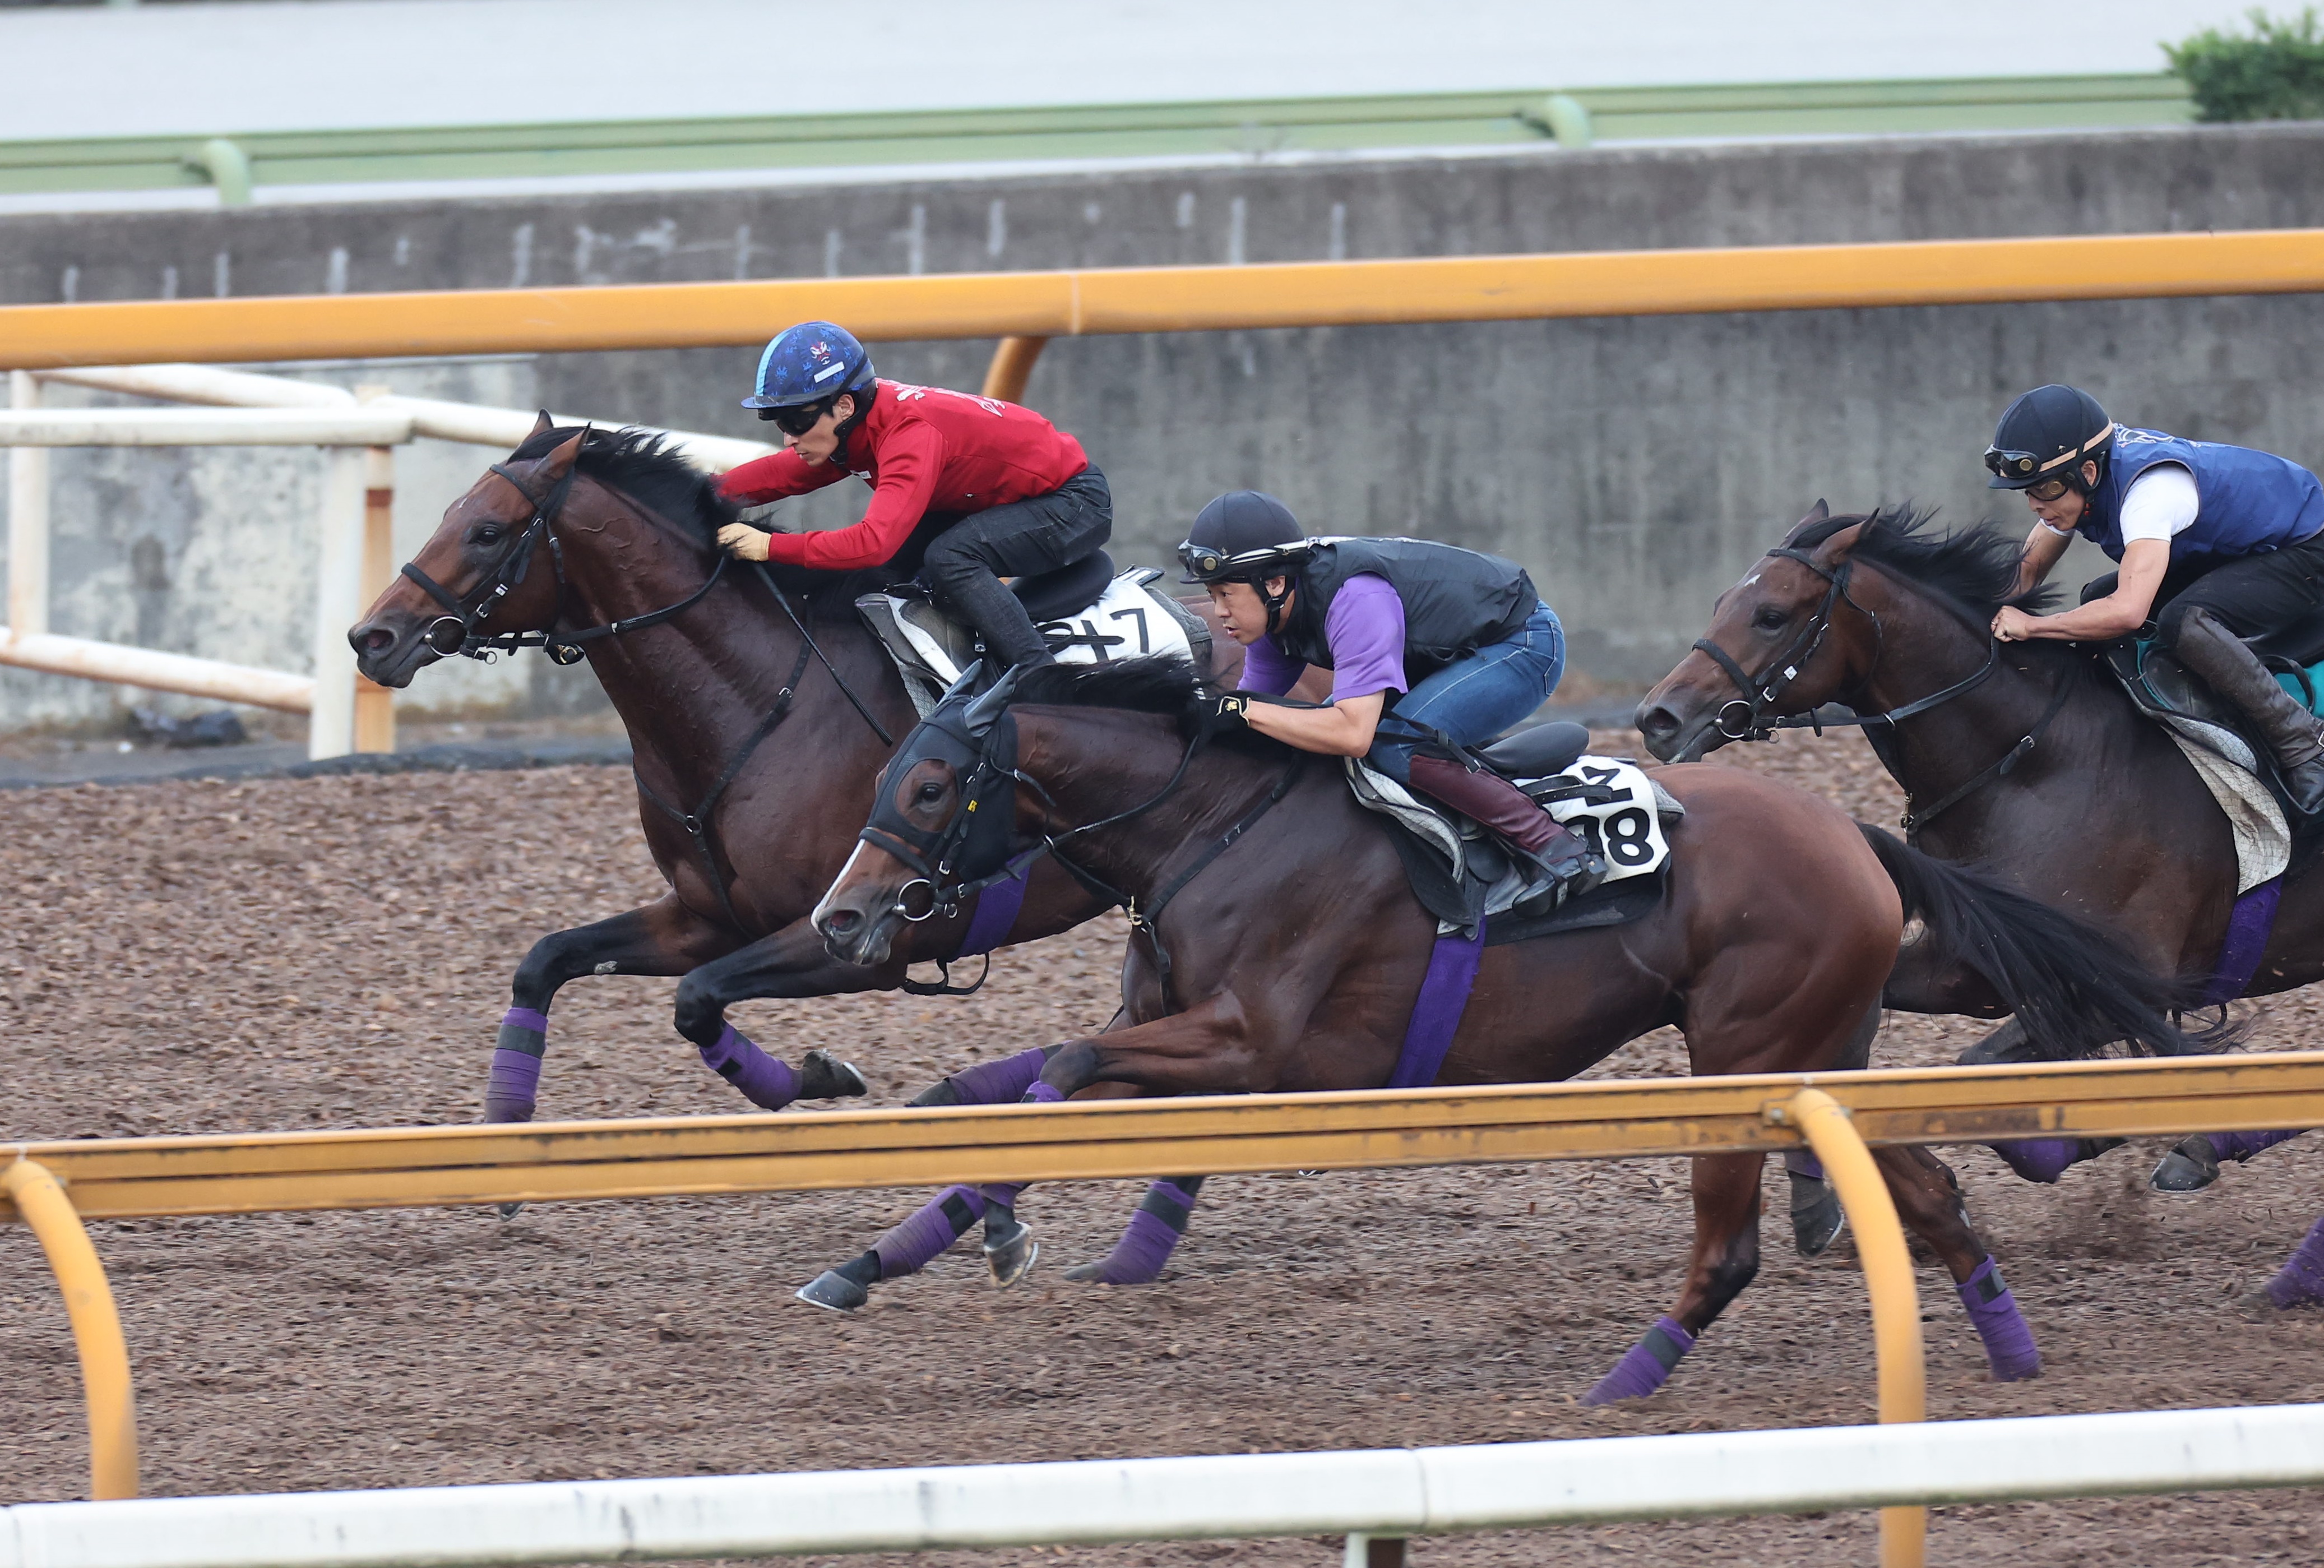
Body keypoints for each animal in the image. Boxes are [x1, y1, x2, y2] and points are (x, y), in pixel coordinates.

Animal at [348, 420, 1217, 1128]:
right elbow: (551, 962)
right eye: (447, 514)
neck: (759, 704)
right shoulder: (705, 917)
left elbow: (697, 995)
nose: (371, 638)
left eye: (487, 531)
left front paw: (816, 1076)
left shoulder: (857, 936)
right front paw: (504, 1117)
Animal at [808, 655, 2203, 1403]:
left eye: (930, 785)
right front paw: (878, 1258)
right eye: (884, 776)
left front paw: (980, 1229)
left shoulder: (1255, 1044)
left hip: (1744, 1054)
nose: (840, 916)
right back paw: (2010, 1354)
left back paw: (1626, 1380)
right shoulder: (1176, 1033)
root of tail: (1854, 832)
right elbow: (1049, 1085)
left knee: (1739, 1244)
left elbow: (1061, 1064)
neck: (1212, 825)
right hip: (1814, 1049)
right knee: (1929, 1194)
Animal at [1636, 508, 2305, 1199]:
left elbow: (1986, 1063)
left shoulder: (2126, 980)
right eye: (1721, 601)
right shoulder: (1975, 959)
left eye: (1771, 614)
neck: (2033, 764)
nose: (1658, 717)